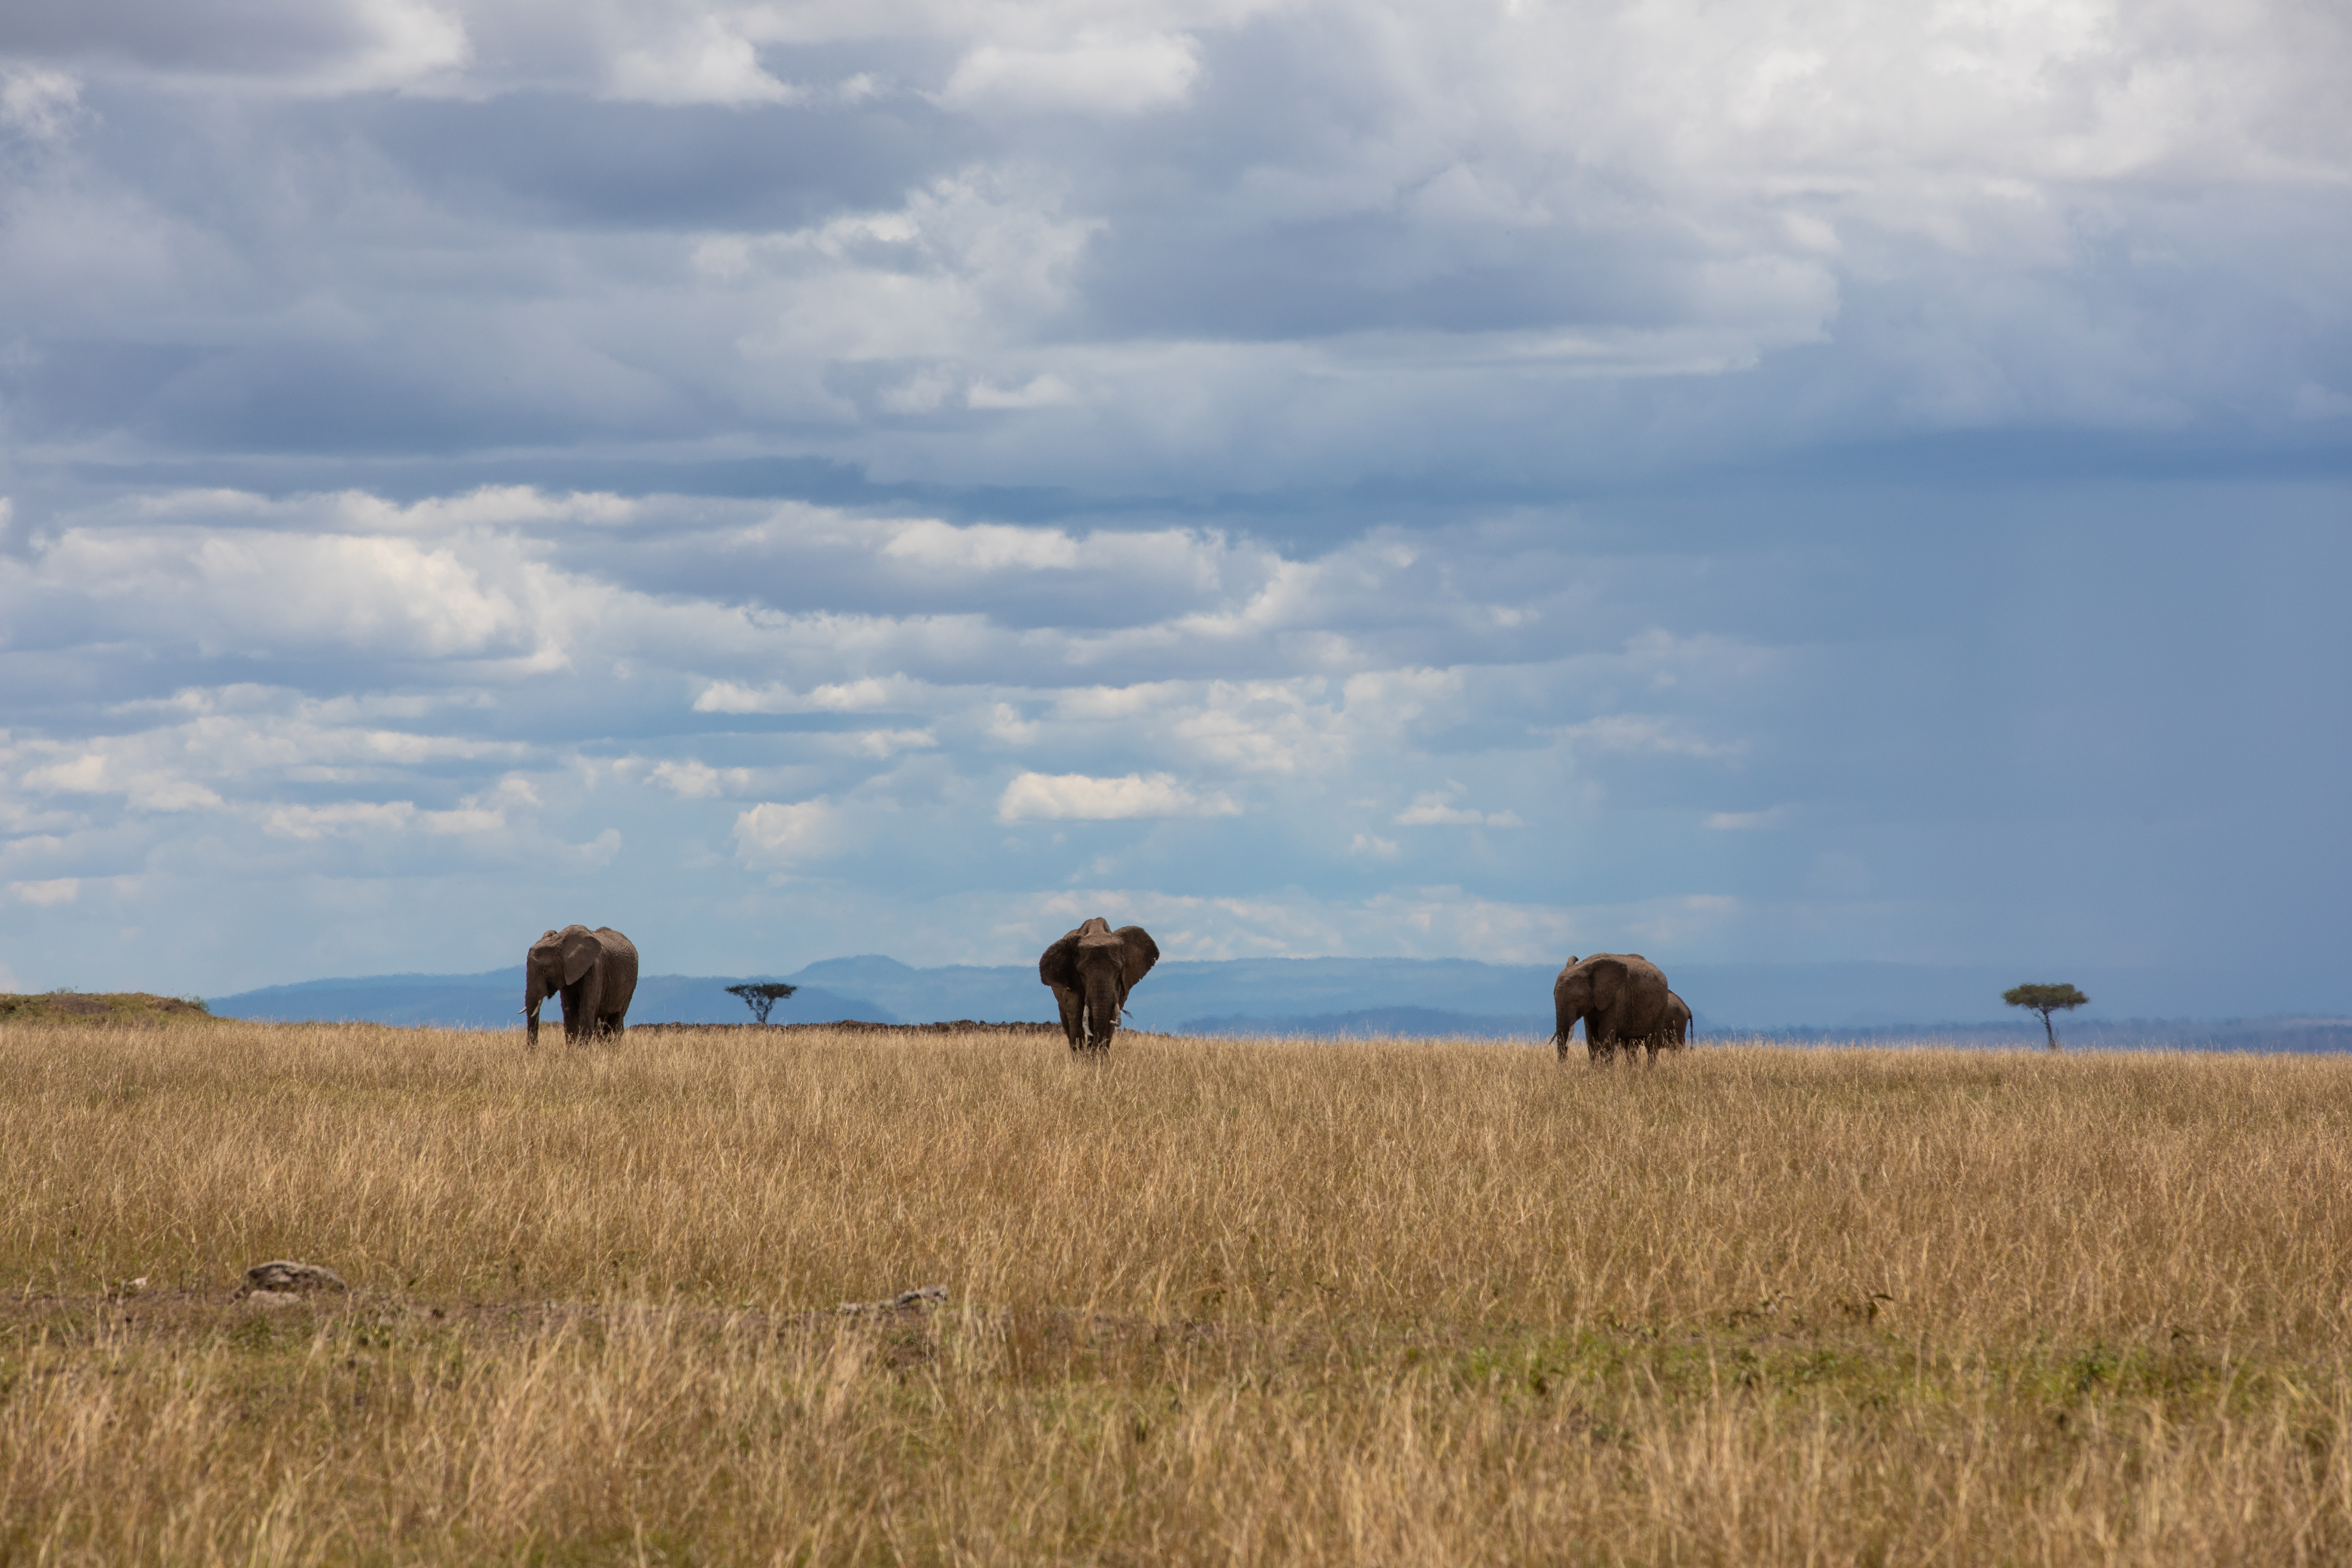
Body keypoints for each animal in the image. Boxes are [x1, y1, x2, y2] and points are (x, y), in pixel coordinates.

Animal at [523, 925, 639, 1046]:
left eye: (545, 970)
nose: (533, 1048)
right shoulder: (566, 973)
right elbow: (569, 1009)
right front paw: (573, 1048)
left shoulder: (596, 968)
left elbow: (587, 1008)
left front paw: (583, 1048)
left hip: (631, 986)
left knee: (617, 1019)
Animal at [1038, 917, 1159, 1052]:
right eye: (1081, 974)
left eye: (1119, 972)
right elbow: (1076, 1019)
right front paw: (1082, 1058)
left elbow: (1110, 1018)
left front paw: (1097, 1057)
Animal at [1551, 952, 1677, 1064]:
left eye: (1576, 999)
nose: (1563, 1066)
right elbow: (1591, 1037)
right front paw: (1594, 1071)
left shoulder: (1615, 998)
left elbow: (1605, 1035)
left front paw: (1606, 1072)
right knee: (1631, 1046)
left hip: (1662, 1007)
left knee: (1652, 1045)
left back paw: (1650, 1071)